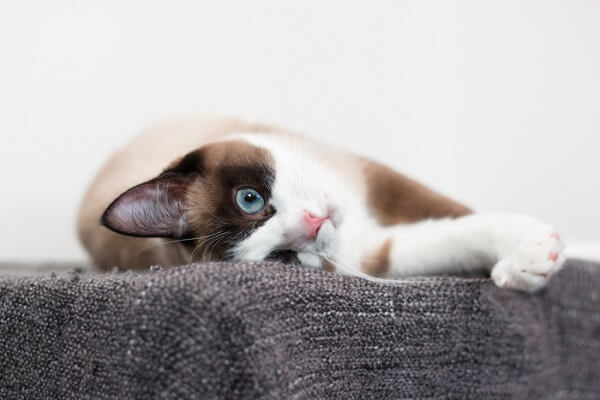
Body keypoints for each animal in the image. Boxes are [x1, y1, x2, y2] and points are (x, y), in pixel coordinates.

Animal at [77, 115, 564, 290]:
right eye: (283, 257)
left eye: (249, 199)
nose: (313, 223)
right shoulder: (370, 253)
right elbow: (459, 234)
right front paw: (529, 263)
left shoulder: (374, 178)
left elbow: (458, 209)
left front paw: (562, 252)